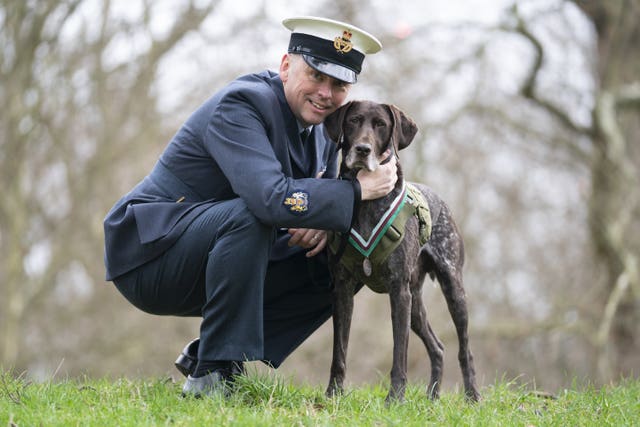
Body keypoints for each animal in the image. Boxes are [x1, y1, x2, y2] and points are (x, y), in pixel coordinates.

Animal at [324, 100, 480, 404]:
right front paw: (333, 393)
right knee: (438, 347)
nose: (363, 150)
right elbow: (339, 351)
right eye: (353, 120)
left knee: (464, 349)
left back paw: (472, 396)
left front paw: (395, 398)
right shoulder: (343, 289)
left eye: (381, 125)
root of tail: (440, 200)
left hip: (452, 289)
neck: (367, 202)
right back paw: (432, 397)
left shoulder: (398, 291)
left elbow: (399, 353)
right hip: (416, 304)